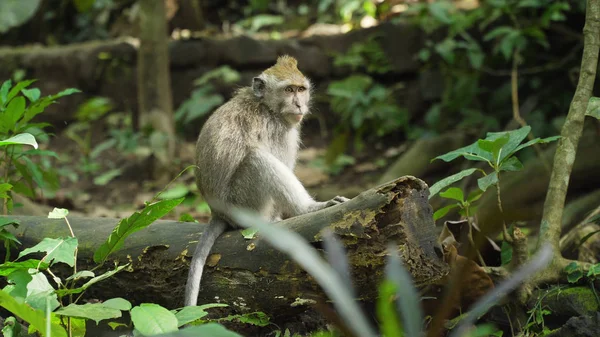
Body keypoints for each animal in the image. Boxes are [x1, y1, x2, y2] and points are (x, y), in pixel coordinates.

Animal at [185, 54, 350, 304]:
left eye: (301, 89)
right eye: (289, 90)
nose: (299, 105)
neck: (266, 106)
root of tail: (218, 213)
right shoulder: (278, 130)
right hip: (243, 203)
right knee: (257, 159)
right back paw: (307, 209)